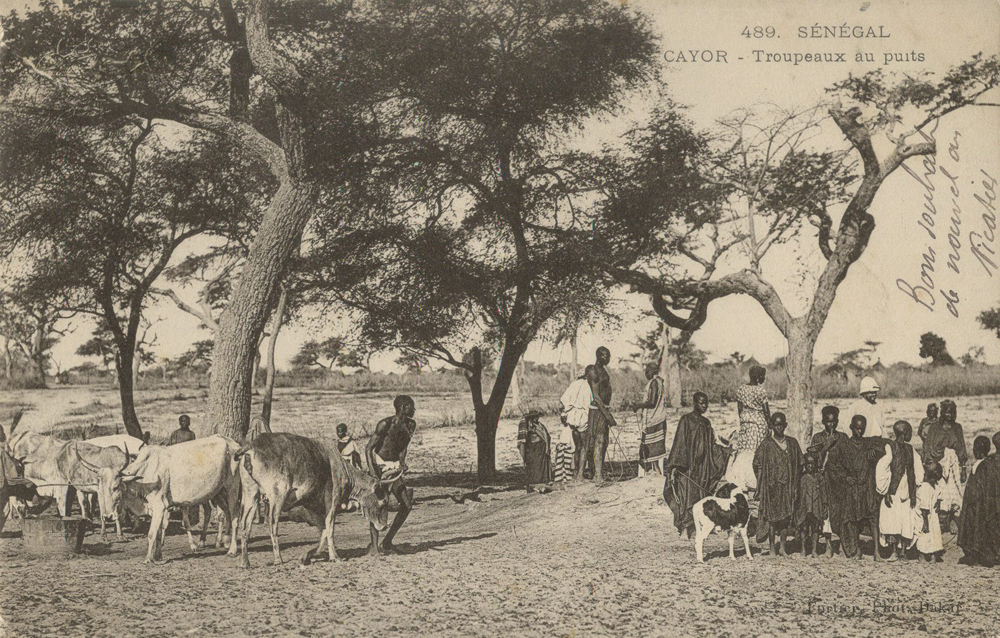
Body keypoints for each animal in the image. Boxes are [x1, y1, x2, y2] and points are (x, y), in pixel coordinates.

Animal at [96, 438, 244, 568]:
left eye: (115, 487)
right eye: (100, 488)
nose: (107, 516)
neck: (145, 473)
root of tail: (233, 443)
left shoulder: (159, 506)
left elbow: (151, 533)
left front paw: (148, 559)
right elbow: (158, 533)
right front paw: (157, 556)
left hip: (232, 488)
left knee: (235, 516)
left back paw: (232, 549)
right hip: (218, 492)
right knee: (225, 513)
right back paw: (223, 541)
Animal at [235, 432, 398, 572]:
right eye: (383, 501)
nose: (384, 526)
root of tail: (252, 446)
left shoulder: (311, 507)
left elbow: (323, 530)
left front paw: (306, 556)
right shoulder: (332, 501)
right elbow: (330, 528)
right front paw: (335, 557)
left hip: (251, 493)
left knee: (244, 524)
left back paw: (245, 562)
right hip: (277, 495)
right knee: (272, 523)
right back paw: (278, 559)